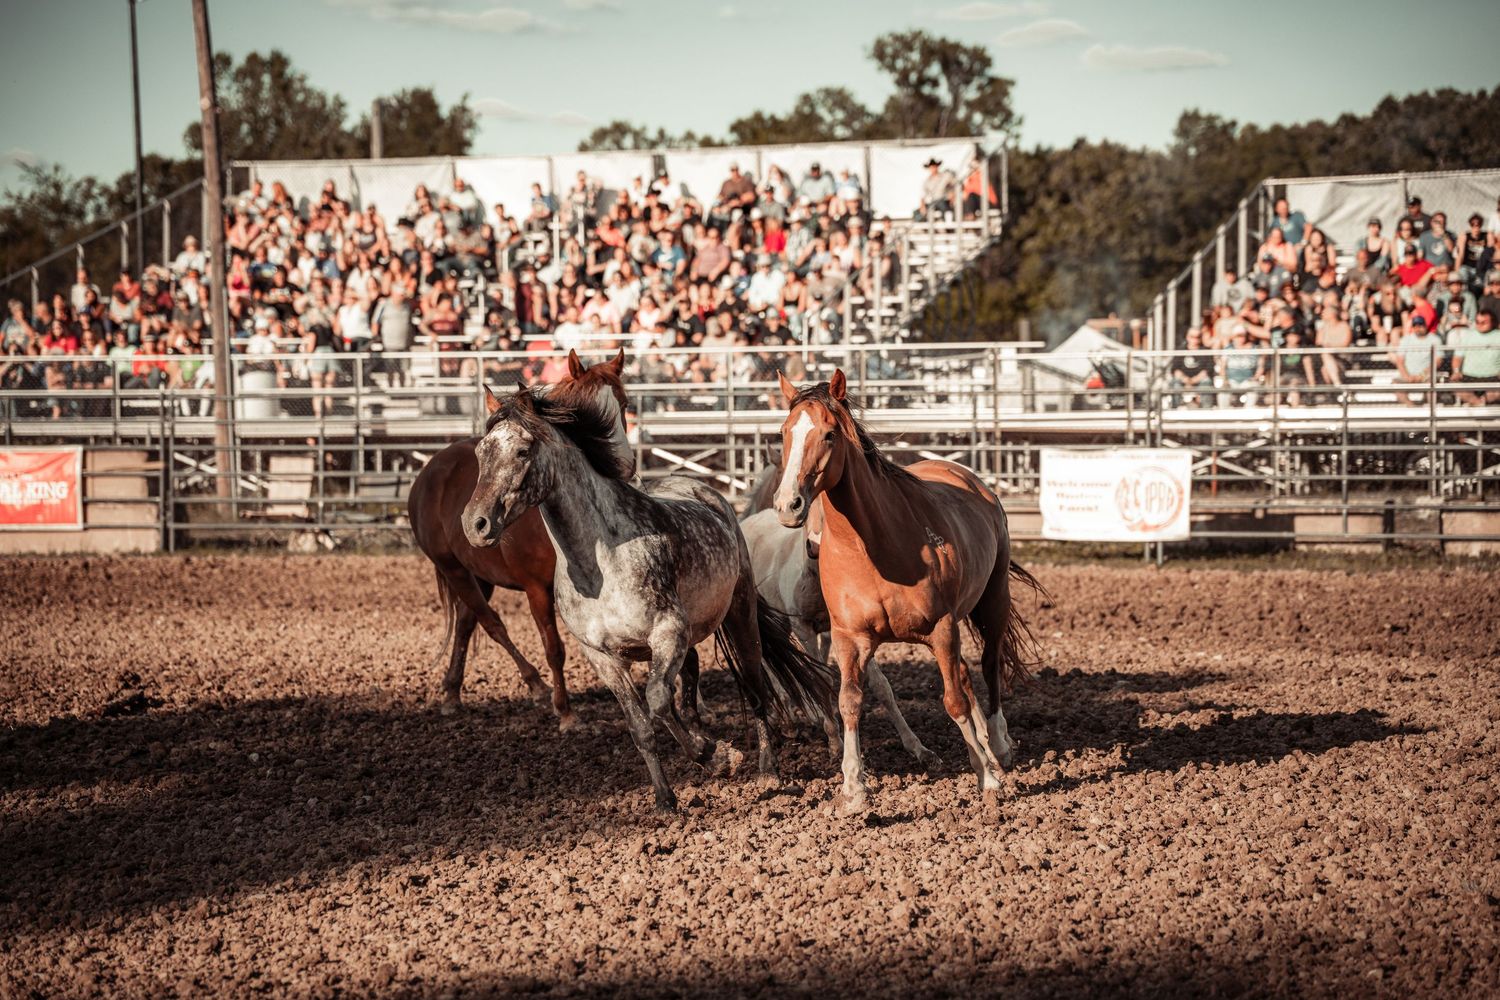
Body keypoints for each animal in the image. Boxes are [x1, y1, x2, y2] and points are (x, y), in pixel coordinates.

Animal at [406, 350, 633, 729]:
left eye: (624, 404)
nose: (622, 464)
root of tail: (430, 469)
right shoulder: (536, 589)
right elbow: (554, 649)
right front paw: (566, 712)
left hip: (479, 574)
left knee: (466, 623)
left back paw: (452, 693)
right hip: (452, 568)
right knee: (490, 623)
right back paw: (536, 686)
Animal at [462, 381, 833, 811]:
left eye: (522, 451)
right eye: (480, 452)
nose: (475, 524)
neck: (599, 567)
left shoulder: (667, 632)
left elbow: (657, 700)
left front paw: (717, 756)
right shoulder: (602, 656)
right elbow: (641, 723)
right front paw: (666, 798)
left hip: (739, 614)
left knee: (755, 686)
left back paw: (767, 768)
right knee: (691, 677)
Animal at [740, 466, 937, 768]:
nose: (814, 546)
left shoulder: (848, 629)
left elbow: (880, 685)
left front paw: (917, 747)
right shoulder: (803, 625)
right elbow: (820, 676)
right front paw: (835, 742)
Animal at [773, 369, 1044, 815]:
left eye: (829, 434)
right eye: (784, 432)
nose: (788, 505)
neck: (874, 546)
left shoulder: (942, 629)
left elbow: (953, 702)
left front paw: (988, 780)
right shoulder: (849, 638)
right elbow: (850, 702)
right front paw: (852, 789)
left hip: (993, 601)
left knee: (988, 667)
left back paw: (999, 746)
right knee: (965, 677)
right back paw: (987, 748)